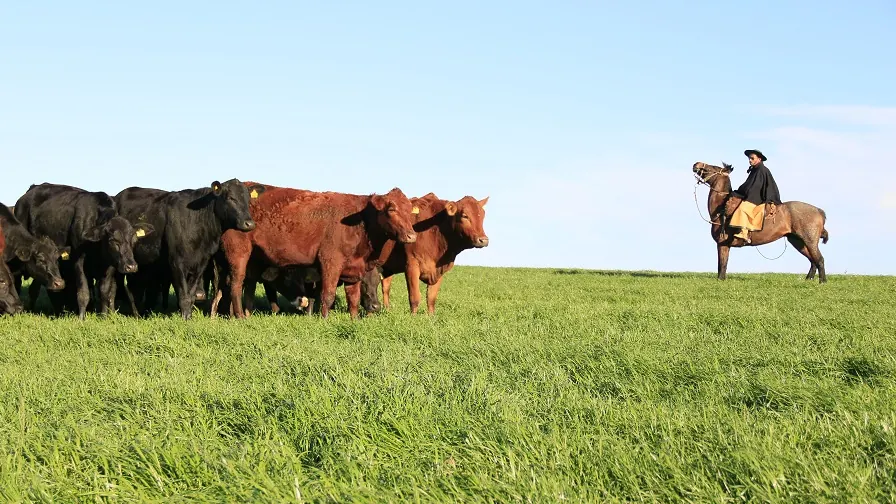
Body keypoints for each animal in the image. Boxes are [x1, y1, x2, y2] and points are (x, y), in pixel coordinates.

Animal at [692, 161, 829, 283]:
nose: (696, 164)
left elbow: (722, 266)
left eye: (713, 167)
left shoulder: (722, 244)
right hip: (798, 241)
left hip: (810, 241)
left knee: (819, 260)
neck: (722, 208)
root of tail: (819, 211)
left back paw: (822, 281)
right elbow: (722, 266)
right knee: (813, 261)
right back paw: (808, 279)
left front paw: (720, 280)